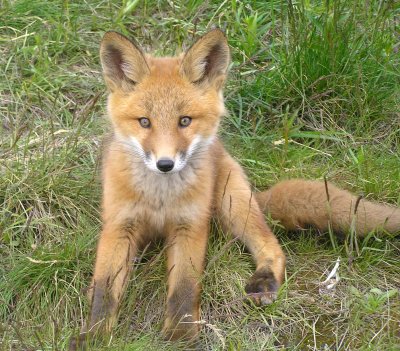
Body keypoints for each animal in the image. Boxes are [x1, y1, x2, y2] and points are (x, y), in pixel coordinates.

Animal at [69, 29, 400, 350]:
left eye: (184, 121)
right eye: (144, 122)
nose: (165, 164)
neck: (160, 197)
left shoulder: (190, 225)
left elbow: (184, 288)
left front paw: (180, 335)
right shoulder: (119, 226)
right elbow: (104, 291)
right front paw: (94, 336)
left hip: (233, 205)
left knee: (271, 244)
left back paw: (264, 280)